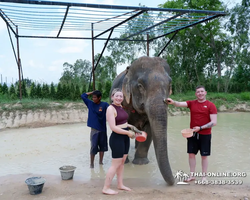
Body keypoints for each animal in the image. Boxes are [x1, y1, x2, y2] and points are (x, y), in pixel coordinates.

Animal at [110, 55, 175, 185]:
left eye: (169, 85)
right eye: (140, 86)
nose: (174, 181)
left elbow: (149, 130)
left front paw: (140, 164)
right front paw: (124, 162)